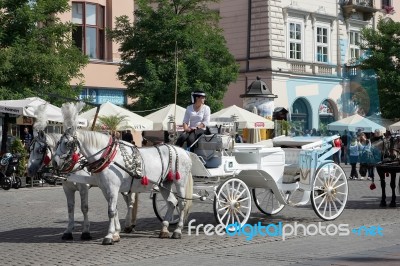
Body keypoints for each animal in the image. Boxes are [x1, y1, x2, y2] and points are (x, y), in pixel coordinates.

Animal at [52, 102, 193, 245]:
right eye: (57, 142)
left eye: (67, 143)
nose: (55, 162)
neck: (108, 157)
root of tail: (183, 151)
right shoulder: (103, 189)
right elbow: (112, 209)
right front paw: (115, 234)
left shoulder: (107, 188)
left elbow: (109, 211)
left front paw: (108, 236)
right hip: (164, 183)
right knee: (171, 202)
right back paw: (164, 229)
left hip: (180, 182)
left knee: (181, 203)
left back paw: (177, 231)